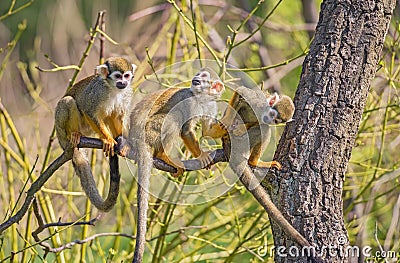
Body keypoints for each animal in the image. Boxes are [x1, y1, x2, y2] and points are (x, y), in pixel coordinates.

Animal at [54, 57, 137, 212]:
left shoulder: (127, 93)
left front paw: (124, 142)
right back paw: (74, 135)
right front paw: (108, 139)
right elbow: (89, 111)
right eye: (118, 76)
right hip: (60, 127)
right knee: (68, 101)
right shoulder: (97, 92)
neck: (113, 88)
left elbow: (117, 116)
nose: (123, 83)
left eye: (127, 76)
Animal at [130, 69, 227, 262]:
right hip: (149, 132)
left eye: (204, 78)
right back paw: (163, 155)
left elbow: (208, 130)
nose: (195, 80)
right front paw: (201, 155)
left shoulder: (211, 105)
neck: (202, 99)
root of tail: (136, 140)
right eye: (198, 76)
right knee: (174, 117)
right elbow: (186, 129)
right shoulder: (189, 101)